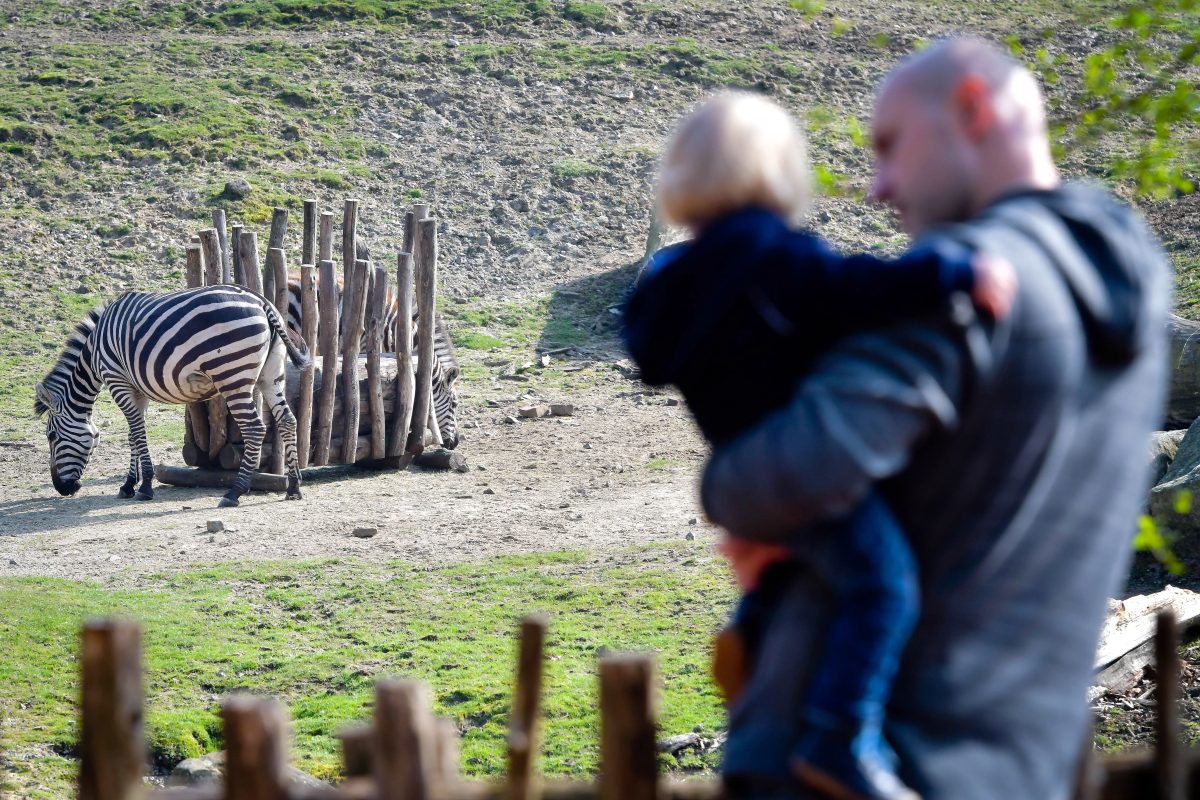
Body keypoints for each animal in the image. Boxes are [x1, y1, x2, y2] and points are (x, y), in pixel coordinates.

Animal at [36, 284, 312, 503]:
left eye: (51, 436)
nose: (62, 489)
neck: (94, 350)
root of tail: (263, 302)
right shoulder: (136, 389)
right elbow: (133, 435)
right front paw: (128, 484)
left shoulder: (117, 380)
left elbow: (137, 432)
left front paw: (145, 486)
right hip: (271, 375)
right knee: (288, 421)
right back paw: (294, 487)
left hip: (232, 375)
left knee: (254, 428)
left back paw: (235, 492)